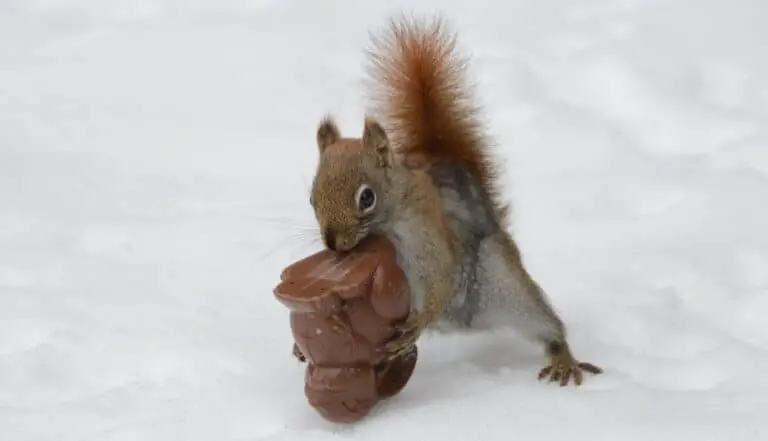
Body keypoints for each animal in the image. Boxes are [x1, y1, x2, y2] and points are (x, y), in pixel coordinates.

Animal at [304, 14, 600, 384]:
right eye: (311, 198)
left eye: (367, 197)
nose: (333, 243)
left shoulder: (427, 239)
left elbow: (439, 278)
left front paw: (416, 324)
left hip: (503, 283)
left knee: (546, 325)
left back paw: (563, 357)